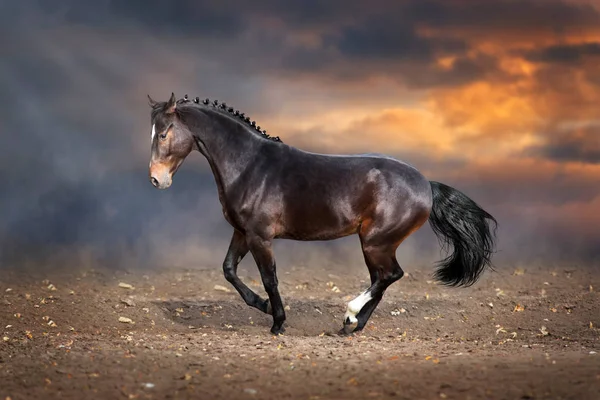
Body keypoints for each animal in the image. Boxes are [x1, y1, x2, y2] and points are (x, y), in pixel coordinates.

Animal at [148, 93, 500, 334]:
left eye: (163, 133)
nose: (156, 180)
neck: (250, 165)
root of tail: (426, 184)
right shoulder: (242, 233)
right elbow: (229, 270)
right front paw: (264, 307)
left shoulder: (261, 237)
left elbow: (269, 278)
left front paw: (278, 322)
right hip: (375, 245)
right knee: (381, 279)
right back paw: (352, 326)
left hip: (375, 242)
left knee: (389, 276)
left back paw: (350, 314)